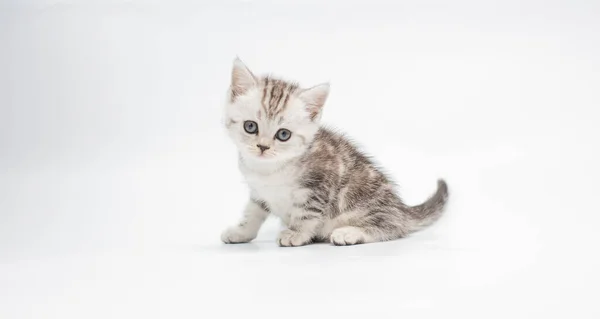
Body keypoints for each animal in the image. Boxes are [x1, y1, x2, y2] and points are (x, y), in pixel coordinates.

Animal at [219, 58, 446, 248]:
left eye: (283, 134)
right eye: (250, 126)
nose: (263, 147)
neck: (270, 170)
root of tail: (400, 208)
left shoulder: (317, 187)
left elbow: (306, 214)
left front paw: (296, 233)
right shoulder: (258, 192)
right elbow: (252, 212)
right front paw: (241, 232)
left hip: (367, 204)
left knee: (391, 227)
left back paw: (349, 233)